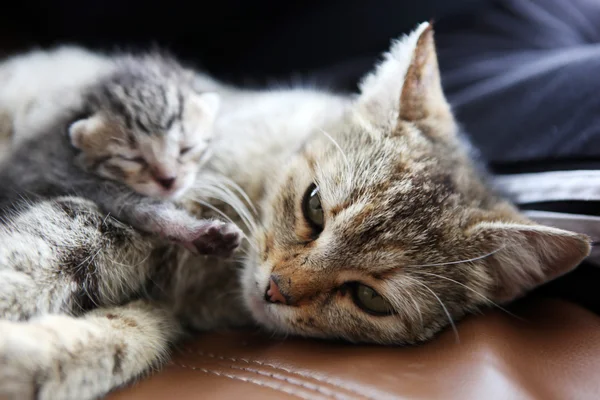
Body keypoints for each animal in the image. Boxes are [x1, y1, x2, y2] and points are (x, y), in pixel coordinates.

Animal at [0, 51, 241, 256]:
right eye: (132, 158)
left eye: (187, 149)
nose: (168, 180)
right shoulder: (60, 173)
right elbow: (137, 205)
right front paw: (194, 231)